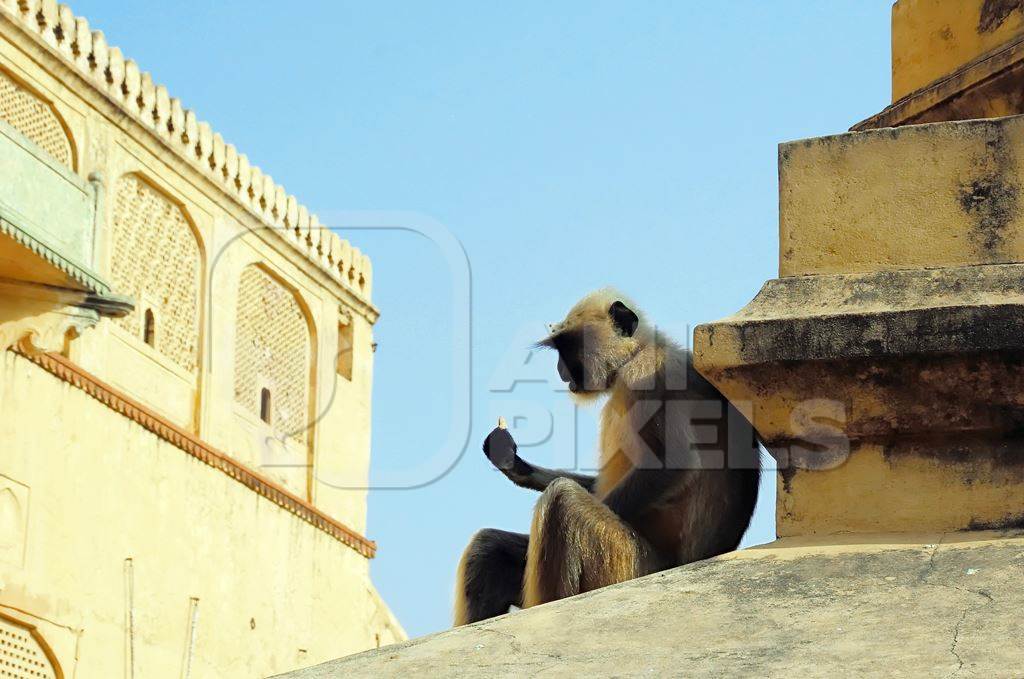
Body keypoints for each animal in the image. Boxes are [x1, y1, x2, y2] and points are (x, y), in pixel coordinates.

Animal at [454, 288, 761, 626]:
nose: (561, 371)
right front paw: (514, 463)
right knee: (489, 545)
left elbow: (674, 463)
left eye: (569, 348)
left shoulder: (650, 375)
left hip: (630, 562)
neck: (640, 351)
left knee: (563, 501)